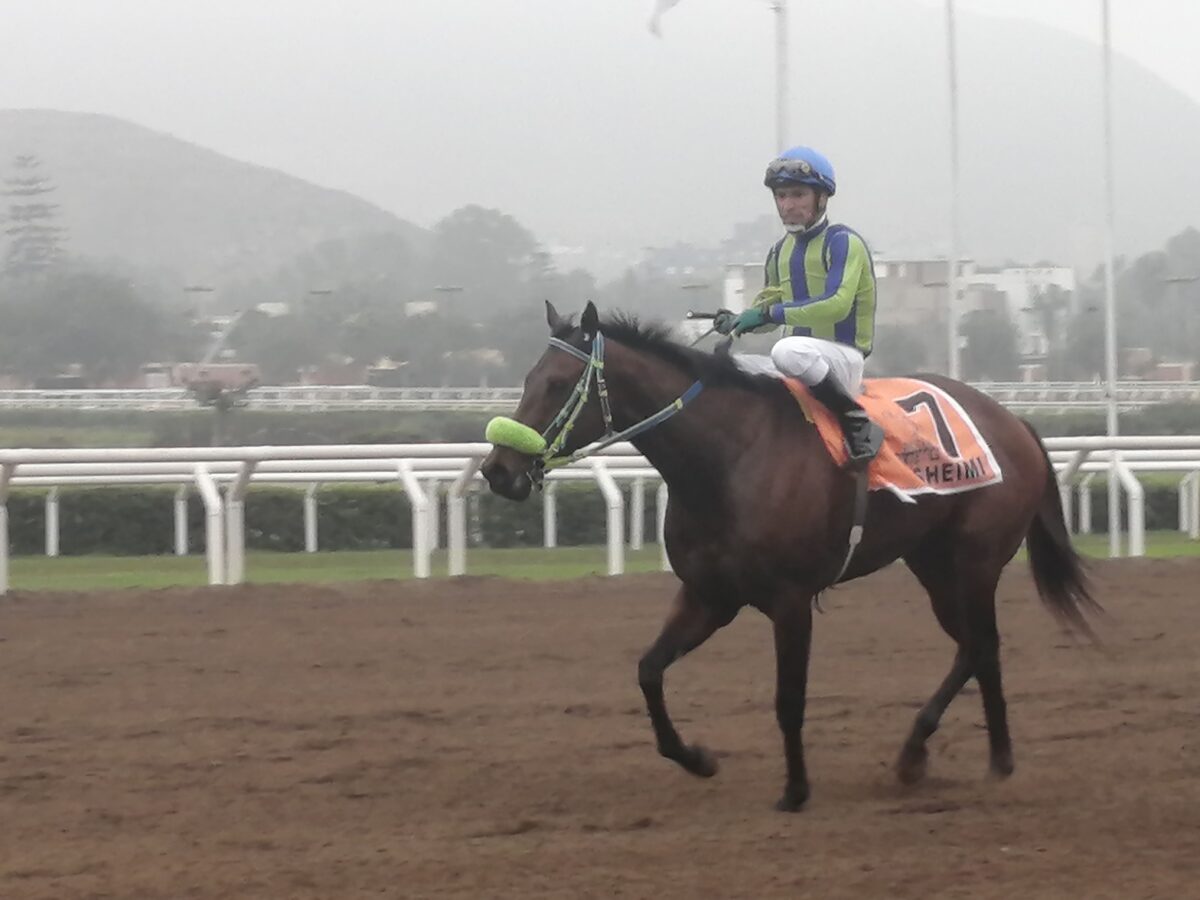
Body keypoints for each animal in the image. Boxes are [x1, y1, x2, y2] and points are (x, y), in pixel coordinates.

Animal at [480, 300, 1098, 812]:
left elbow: (788, 698)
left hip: (973, 562)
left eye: (558, 383)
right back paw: (979, 759)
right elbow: (649, 671)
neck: (727, 458)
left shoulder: (791, 599)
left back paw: (932, 754)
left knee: (979, 645)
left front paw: (796, 790)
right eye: (527, 378)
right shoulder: (709, 595)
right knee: (979, 647)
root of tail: (1013, 421)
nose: (497, 470)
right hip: (934, 565)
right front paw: (697, 758)